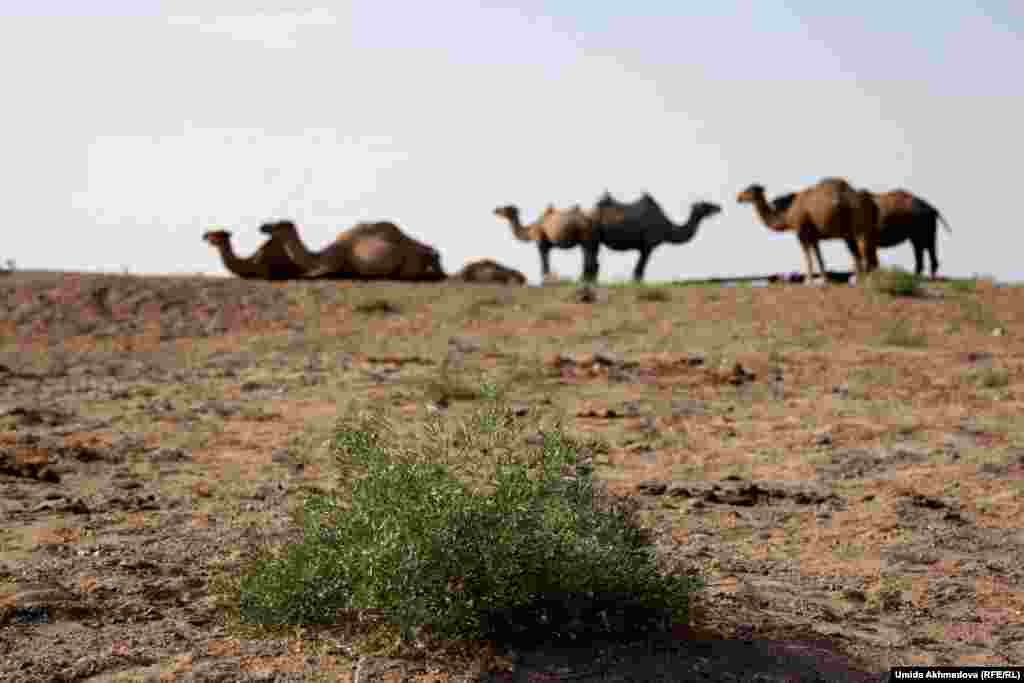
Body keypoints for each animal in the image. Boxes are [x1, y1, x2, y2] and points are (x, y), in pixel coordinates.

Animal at [589, 191, 724, 282]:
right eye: (706, 205)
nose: (719, 207)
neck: (666, 227)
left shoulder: (644, 248)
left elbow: (639, 270)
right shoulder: (648, 246)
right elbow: (639, 270)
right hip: (595, 233)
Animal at [737, 179, 880, 286]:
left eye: (749, 189)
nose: (738, 197)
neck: (787, 215)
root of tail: (871, 201)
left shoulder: (801, 232)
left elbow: (807, 256)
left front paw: (808, 281)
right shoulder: (814, 236)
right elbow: (819, 257)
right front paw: (825, 280)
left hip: (859, 227)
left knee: (863, 250)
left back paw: (866, 280)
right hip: (851, 232)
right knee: (860, 252)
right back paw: (859, 280)